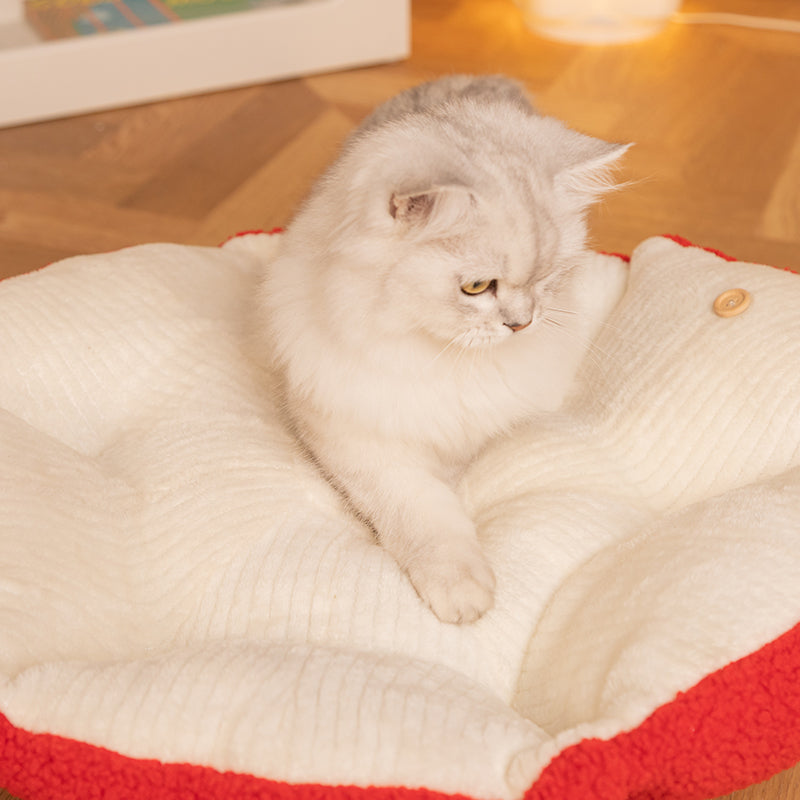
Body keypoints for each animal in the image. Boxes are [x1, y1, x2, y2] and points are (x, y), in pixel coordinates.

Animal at [256, 75, 632, 624]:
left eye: (547, 278)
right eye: (476, 287)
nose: (521, 324)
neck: (440, 356)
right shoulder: (353, 437)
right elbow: (421, 512)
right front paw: (462, 594)